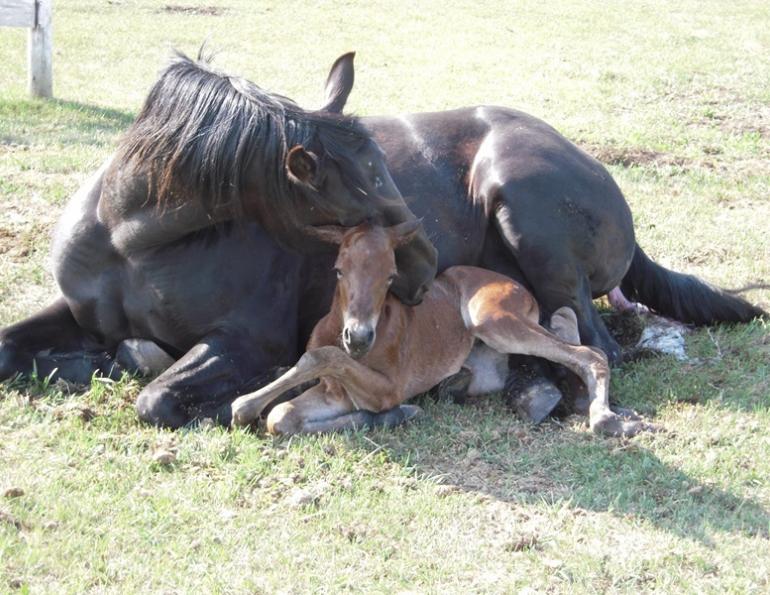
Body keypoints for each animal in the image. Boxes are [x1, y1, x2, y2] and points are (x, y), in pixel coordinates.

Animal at [230, 222, 650, 438]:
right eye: (338, 270)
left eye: (390, 276)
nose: (360, 338)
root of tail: (520, 288)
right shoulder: (338, 393)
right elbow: (282, 415)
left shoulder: (386, 386)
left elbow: (322, 356)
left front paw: (241, 405)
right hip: (491, 361)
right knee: (566, 324)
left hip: (492, 319)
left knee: (591, 353)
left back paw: (605, 417)